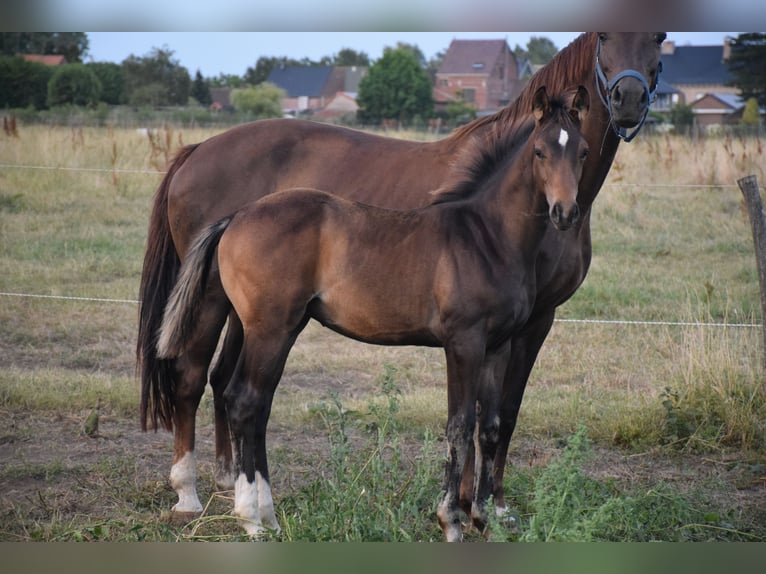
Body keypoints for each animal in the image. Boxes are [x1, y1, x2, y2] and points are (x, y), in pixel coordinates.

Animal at [137, 33, 666, 517]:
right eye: (538, 152)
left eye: (582, 153)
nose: (628, 100)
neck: (485, 232)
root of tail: (235, 212)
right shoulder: (476, 337)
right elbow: (464, 422)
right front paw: (458, 509)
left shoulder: (500, 339)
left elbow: (492, 420)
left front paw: (484, 510)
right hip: (245, 316)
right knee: (213, 386)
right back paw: (213, 501)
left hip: (261, 319)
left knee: (237, 390)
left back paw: (241, 491)